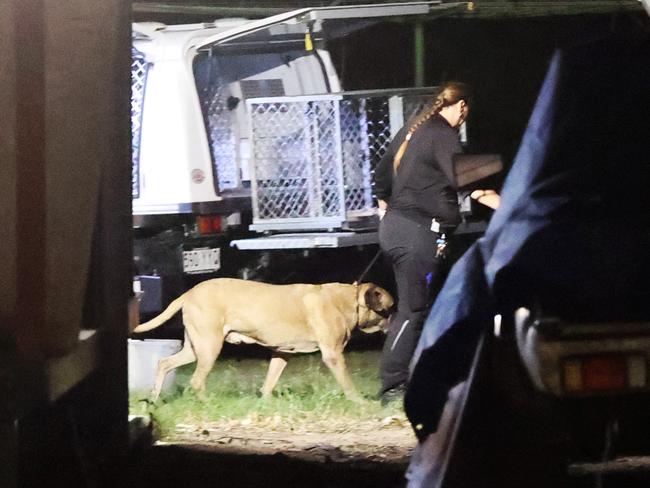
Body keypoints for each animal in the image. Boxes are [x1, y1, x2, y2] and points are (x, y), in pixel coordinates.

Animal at [133, 278, 390, 400]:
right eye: (388, 309)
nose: (394, 321)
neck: (347, 300)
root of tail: (189, 293)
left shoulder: (282, 353)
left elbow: (269, 383)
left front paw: (265, 401)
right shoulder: (333, 355)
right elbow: (347, 384)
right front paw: (360, 402)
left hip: (195, 349)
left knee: (164, 363)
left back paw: (154, 397)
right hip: (209, 348)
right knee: (196, 381)